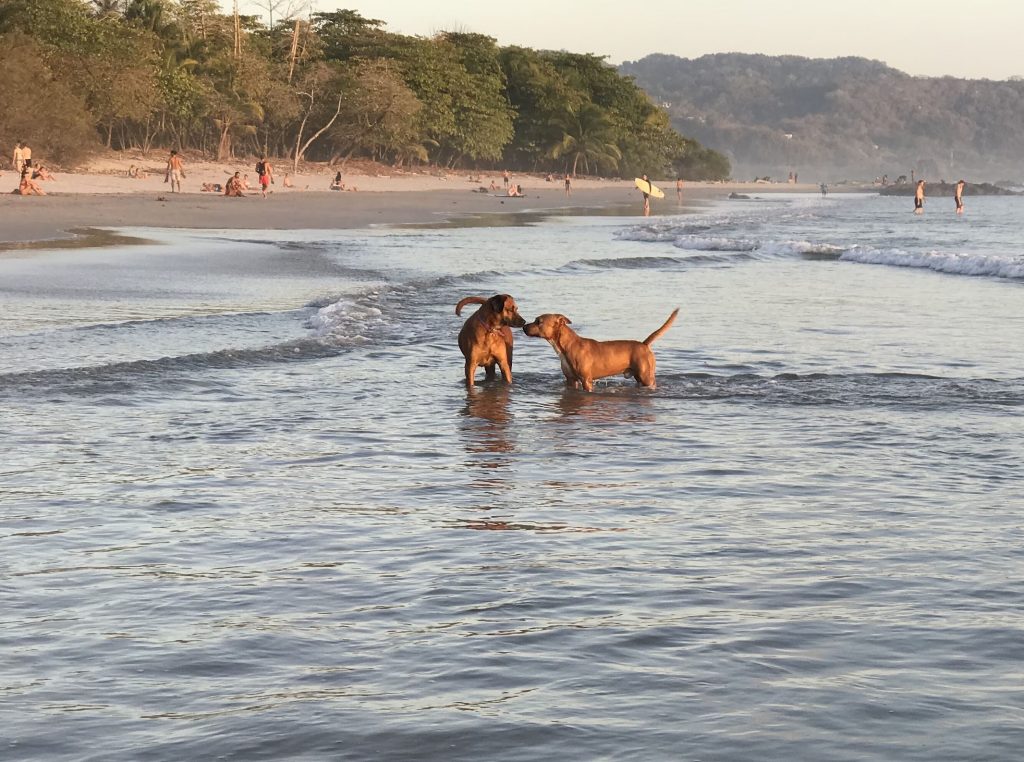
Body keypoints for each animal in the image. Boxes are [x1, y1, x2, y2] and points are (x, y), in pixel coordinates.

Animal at [520, 309, 679, 393]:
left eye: (539, 321)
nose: (524, 326)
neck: (565, 346)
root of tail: (644, 344)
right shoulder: (570, 380)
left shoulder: (586, 380)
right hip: (639, 377)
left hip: (646, 377)